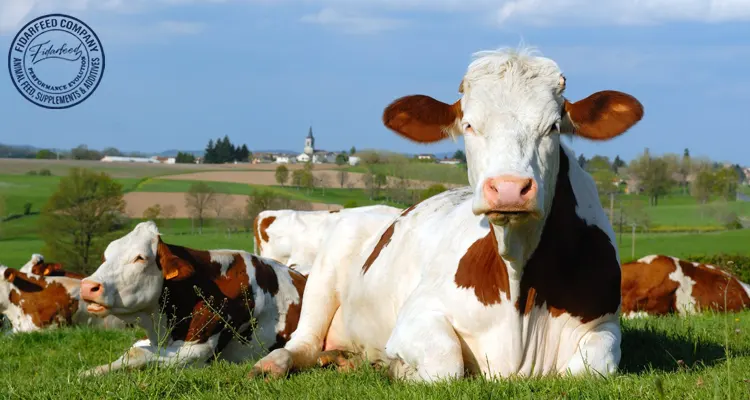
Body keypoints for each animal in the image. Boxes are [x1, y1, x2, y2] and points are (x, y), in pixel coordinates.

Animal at [78, 221, 307, 376]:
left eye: (139, 258)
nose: (88, 286)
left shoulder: (197, 352)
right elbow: (129, 352)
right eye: (106, 256)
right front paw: (87, 373)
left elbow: (137, 354)